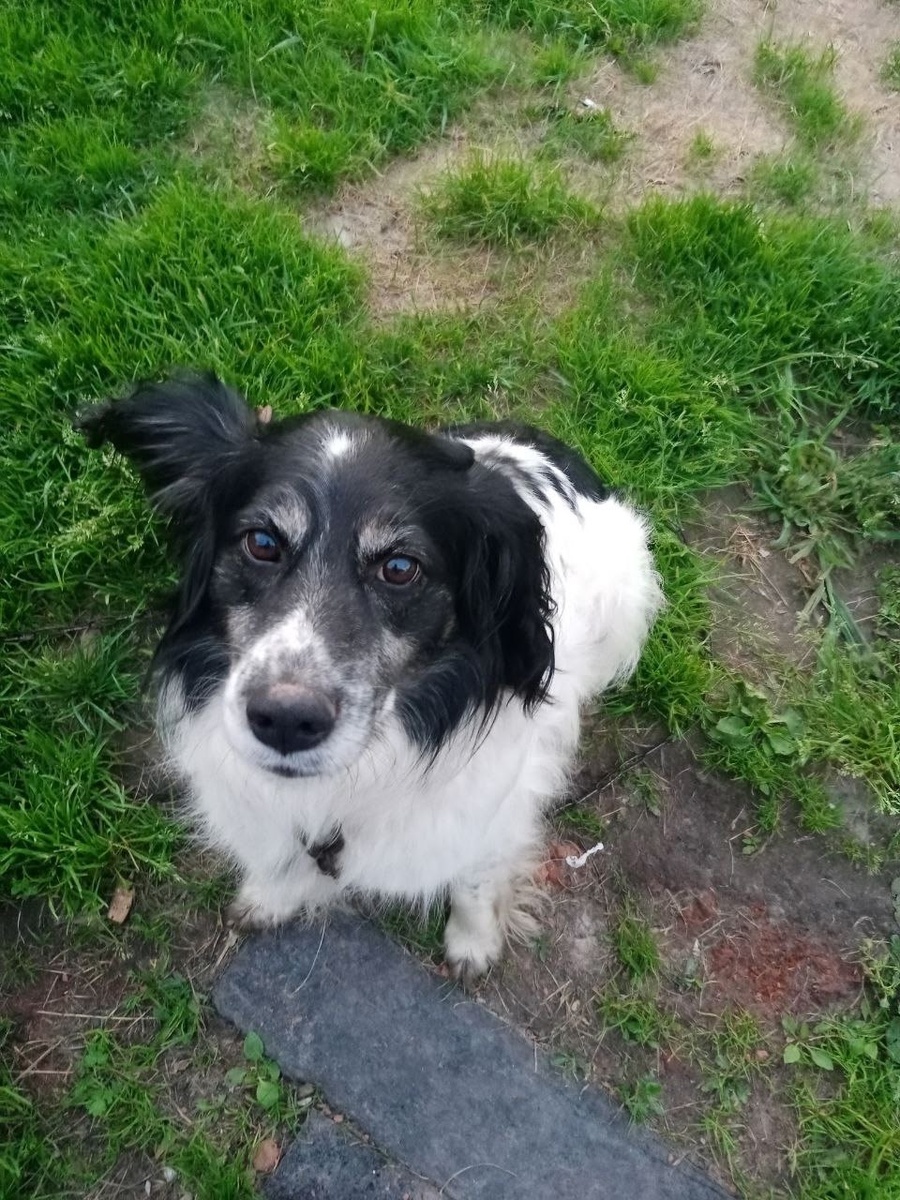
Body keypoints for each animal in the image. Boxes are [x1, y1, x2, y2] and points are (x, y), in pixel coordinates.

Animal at [79, 372, 663, 979]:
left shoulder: (495, 811)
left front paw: (473, 942)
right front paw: (269, 897)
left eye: (400, 568)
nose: (285, 720)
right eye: (261, 543)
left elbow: (476, 881)